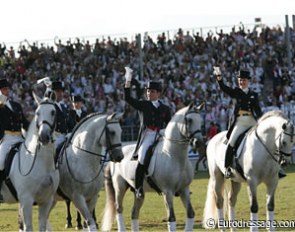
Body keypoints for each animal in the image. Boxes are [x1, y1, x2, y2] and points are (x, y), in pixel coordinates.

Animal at [0, 95, 59, 231]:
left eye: (53, 112)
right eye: (37, 113)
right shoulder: (26, 200)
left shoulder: (46, 201)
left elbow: (42, 227)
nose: (43, 136)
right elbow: (29, 228)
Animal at [102, 103, 206, 232]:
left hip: (138, 193)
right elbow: (171, 218)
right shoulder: (168, 192)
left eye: (200, 120)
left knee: (134, 213)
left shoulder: (184, 189)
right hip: (120, 187)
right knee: (119, 209)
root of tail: (116, 156)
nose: (199, 143)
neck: (173, 155)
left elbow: (191, 214)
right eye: (189, 120)